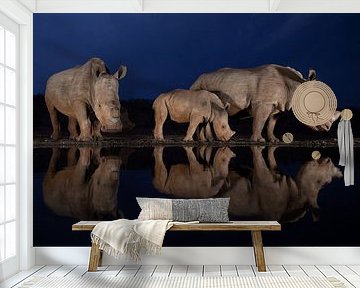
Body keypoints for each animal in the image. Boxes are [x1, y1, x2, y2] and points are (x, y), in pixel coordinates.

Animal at [191, 64, 340, 142]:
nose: (327, 128)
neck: (295, 87)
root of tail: (197, 79)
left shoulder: (278, 105)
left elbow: (271, 124)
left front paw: (274, 140)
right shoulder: (263, 102)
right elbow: (260, 121)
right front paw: (258, 141)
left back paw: (207, 140)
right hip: (199, 86)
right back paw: (205, 141)